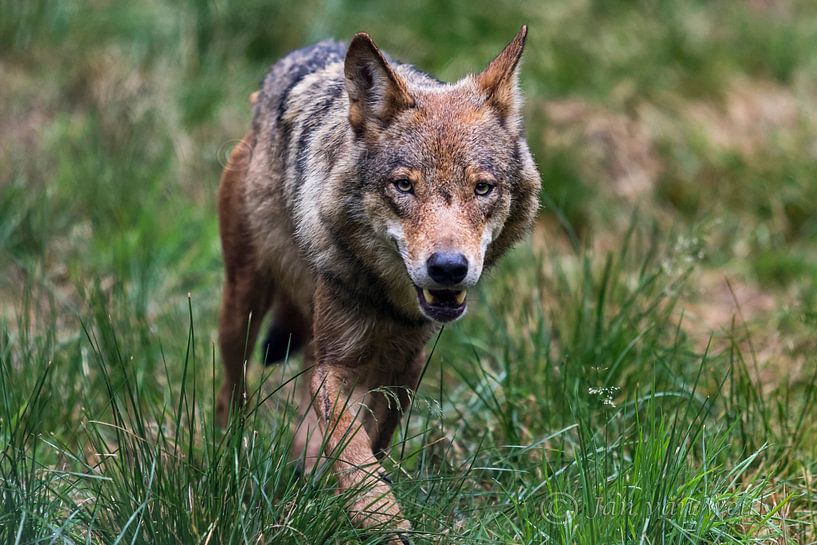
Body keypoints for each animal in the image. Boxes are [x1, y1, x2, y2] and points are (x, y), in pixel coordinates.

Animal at [214, 27, 540, 540]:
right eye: (404, 185)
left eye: (482, 188)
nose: (448, 267)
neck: (388, 301)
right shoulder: (338, 367)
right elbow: (354, 451)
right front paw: (382, 520)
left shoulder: (405, 367)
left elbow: (371, 441)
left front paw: (339, 502)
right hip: (242, 309)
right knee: (232, 389)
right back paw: (231, 453)